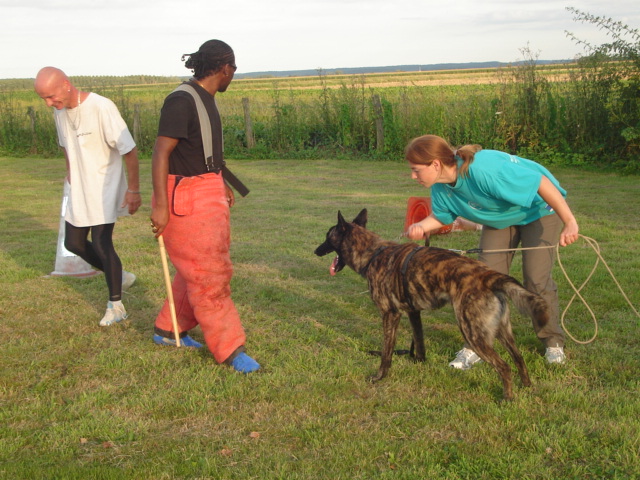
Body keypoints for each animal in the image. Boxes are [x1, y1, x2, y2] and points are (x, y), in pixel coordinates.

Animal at [316, 208, 552, 400]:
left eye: (328, 236)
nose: (315, 251)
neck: (373, 253)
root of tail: (489, 276)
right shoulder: (413, 313)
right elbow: (419, 343)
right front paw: (418, 363)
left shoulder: (390, 315)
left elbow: (386, 353)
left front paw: (380, 376)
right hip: (502, 332)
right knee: (519, 359)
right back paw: (527, 387)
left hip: (473, 333)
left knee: (504, 367)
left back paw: (507, 398)